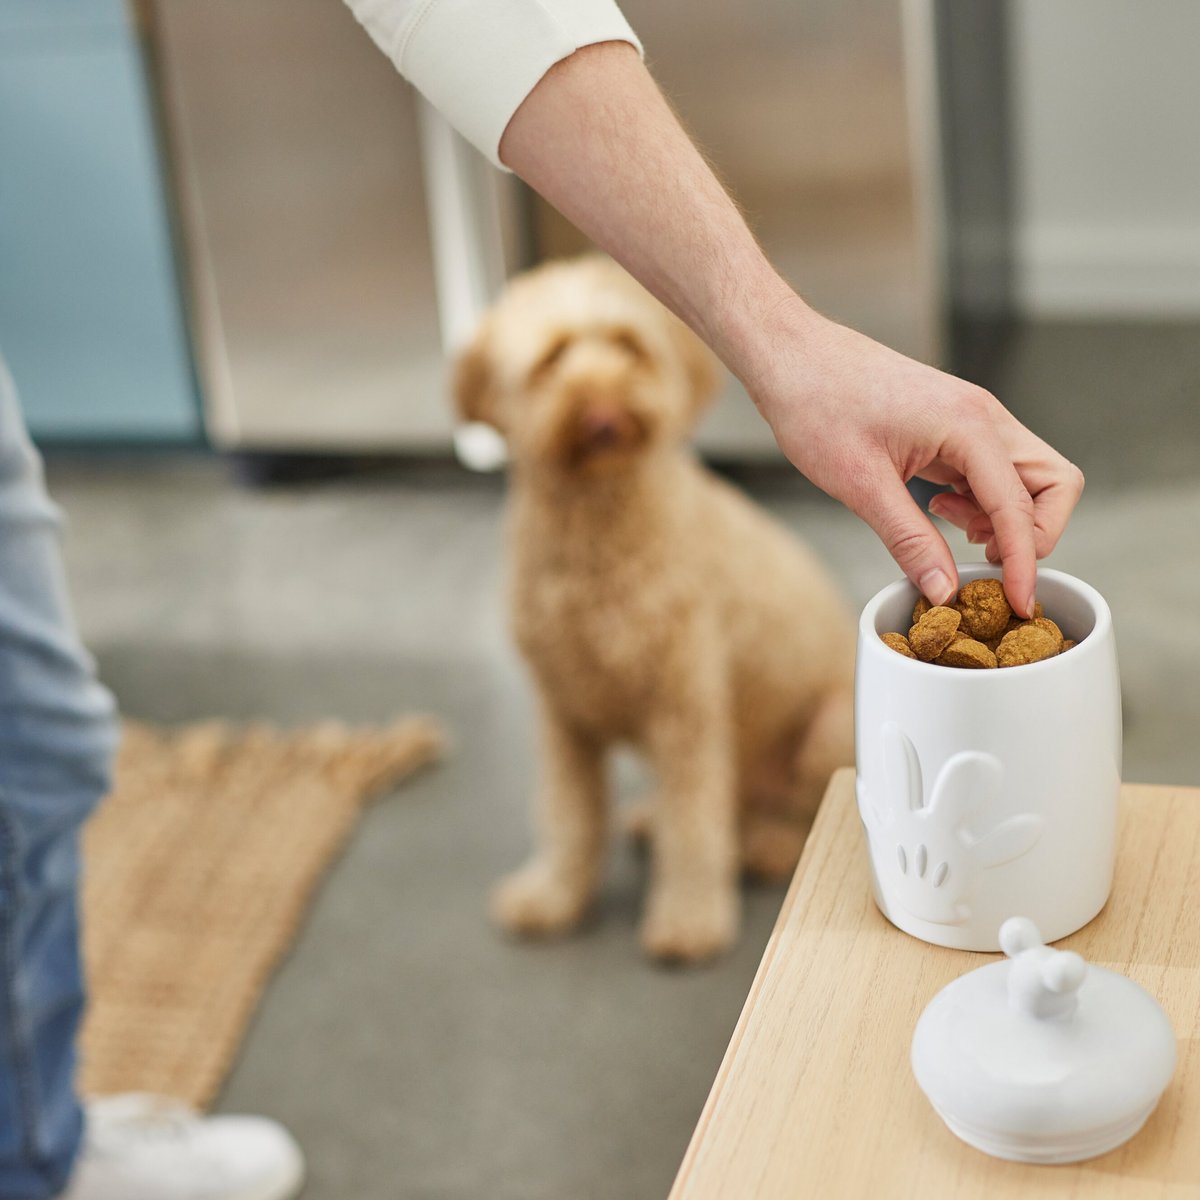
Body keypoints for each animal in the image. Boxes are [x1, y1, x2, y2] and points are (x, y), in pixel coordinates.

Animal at [453, 258, 859, 960]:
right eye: (552, 359)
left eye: (628, 346)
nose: (604, 414)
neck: (596, 539)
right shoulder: (563, 716)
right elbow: (568, 815)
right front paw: (553, 895)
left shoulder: (686, 710)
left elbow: (694, 828)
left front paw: (689, 921)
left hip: (829, 727)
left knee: (789, 808)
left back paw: (768, 844)